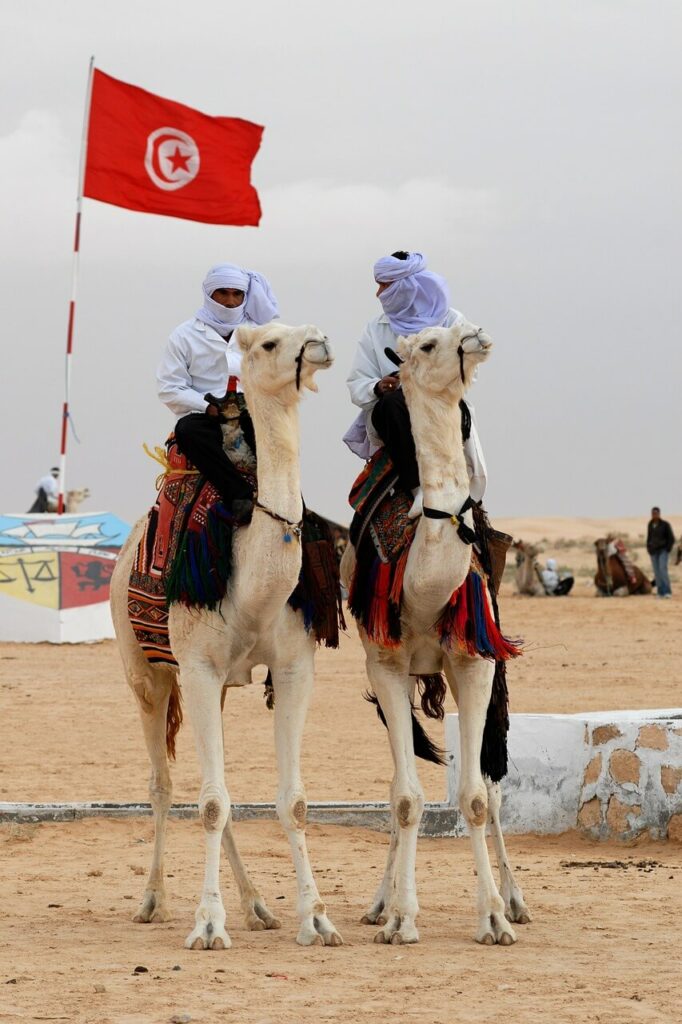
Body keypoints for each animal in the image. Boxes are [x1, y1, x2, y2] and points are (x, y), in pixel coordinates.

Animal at [112, 321, 346, 950]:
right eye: (268, 342)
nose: (319, 342)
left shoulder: (294, 668)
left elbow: (293, 801)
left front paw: (316, 919)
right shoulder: (195, 666)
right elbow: (212, 802)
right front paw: (208, 924)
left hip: (210, 685)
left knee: (208, 781)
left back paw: (259, 905)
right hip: (145, 670)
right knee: (165, 783)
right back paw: (152, 900)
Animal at [339, 317, 532, 942]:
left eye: (456, 324)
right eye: (427, 344)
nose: (476, 335)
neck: (424, 586)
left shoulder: (475, 663)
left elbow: (474, 798)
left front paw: (493, 916)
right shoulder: (386, 664)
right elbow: (405, 799)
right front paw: (401, 917)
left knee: (493, 785)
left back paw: (516, 899)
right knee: (399, 786)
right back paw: (381, 902)